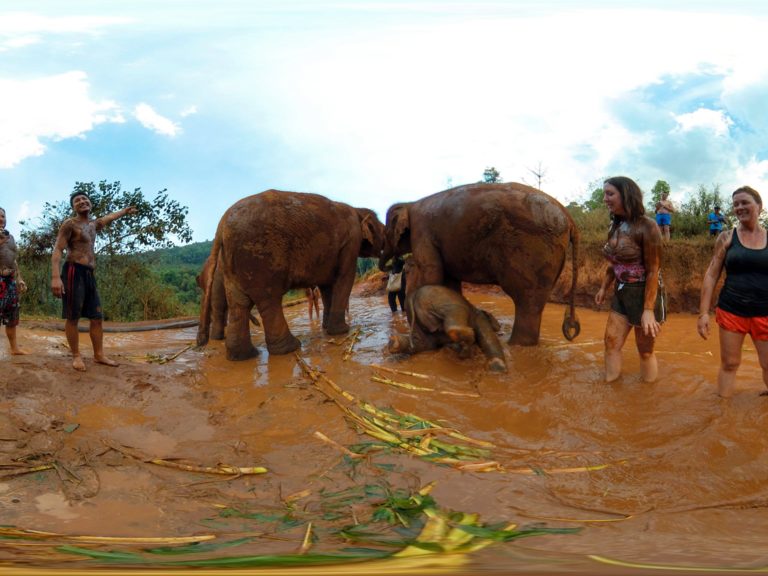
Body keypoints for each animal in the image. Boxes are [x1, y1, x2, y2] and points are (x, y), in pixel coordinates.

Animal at [197, 190, 385, 360]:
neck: (358, 209)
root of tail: (221, 225)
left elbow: (326, 286)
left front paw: (326, 328)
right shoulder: (351, 242)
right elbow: (344, 278)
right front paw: (342, 331)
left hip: (233, 263)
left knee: (239, 304)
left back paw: (244, 356)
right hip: (261, 257)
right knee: (269, 299)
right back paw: (290, 348)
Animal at [379, 182, 580, 346]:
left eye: (386, 232)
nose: (393, 264)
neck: (410, 203)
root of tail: (570, 219)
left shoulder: (422, 232)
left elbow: (432, 273)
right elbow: (450, 282)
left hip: (534, 250)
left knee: (526, 299)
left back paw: (514, 345)